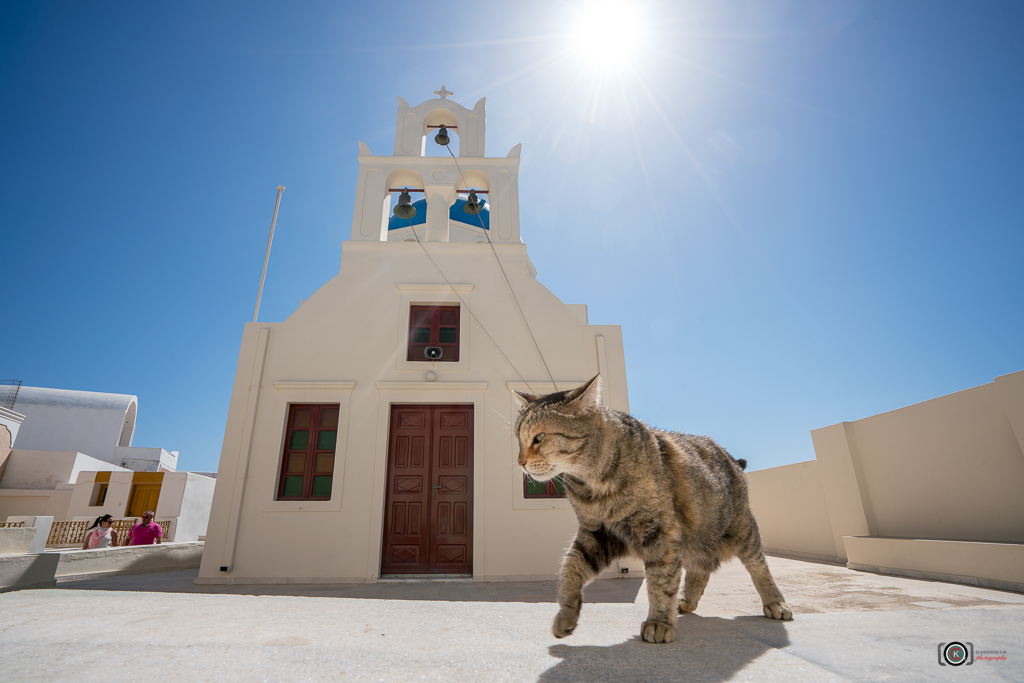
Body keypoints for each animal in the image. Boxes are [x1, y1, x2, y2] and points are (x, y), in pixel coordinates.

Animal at [516, 376, 794, 643]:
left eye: (539, 438)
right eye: (518, 440)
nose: (520, 462)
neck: (594, 486)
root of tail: (731, 458)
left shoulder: (660, 532)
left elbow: (661, 580)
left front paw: (660, 622)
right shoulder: (596, 533)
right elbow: (571, 567)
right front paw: (566, 614)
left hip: (741, 530)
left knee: (758, 565)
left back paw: (775, 603)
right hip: (693, 541)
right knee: (700, 569)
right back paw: (688, 601)